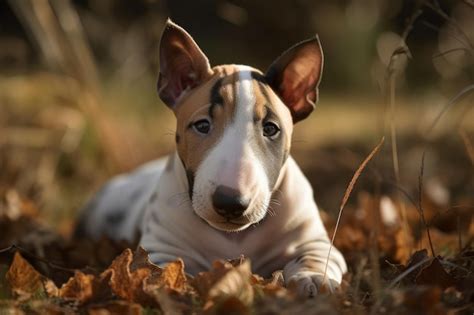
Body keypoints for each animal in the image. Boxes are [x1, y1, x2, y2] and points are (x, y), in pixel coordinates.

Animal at [76, 20, 346, 298]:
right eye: (202, 125)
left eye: (271, 128)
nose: (231, 202)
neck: (234, 238)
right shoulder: (161, 250)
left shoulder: (316, 242)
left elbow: (314, 258)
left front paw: (313, 278)